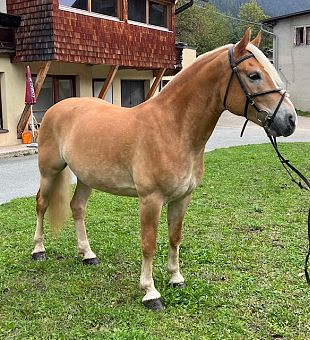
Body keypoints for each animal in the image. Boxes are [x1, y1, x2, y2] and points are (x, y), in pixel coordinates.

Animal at [32, 30, 296, 312]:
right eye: (254, 75)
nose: (290, 120)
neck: (173, 128)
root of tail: (56, 108)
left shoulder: (182, 198)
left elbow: (174, 237)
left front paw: (176, 278)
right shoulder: (151, 200)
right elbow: (149, 244)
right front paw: (150, 292)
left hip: (85, 177)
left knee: (77, 207)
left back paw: (87, 254)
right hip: (49, 172)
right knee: (41, 204)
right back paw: (39, 250)